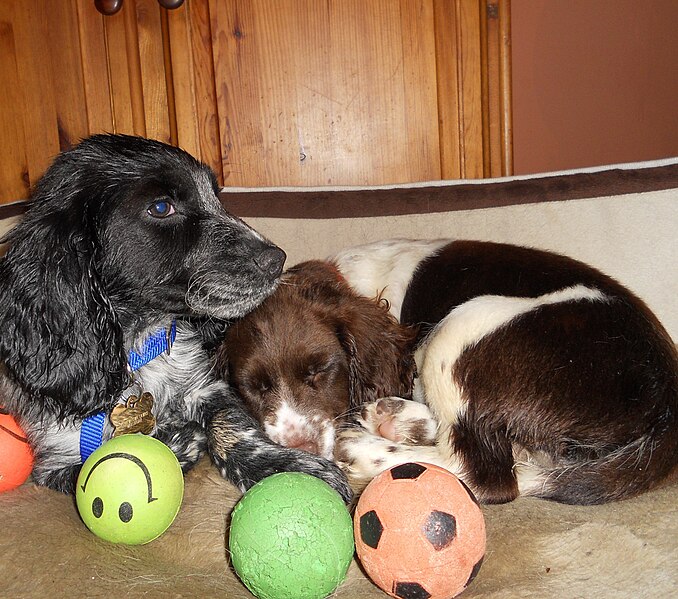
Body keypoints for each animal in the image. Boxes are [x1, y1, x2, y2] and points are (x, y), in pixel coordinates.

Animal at [0, 135, 350, 502]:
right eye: (160, 208)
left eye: (215, 196)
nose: (276, 259)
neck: (136, 347)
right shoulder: (55, 459)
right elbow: (97, 465)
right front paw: (179, 440)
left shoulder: (205, 386)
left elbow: (231, 429)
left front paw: (285, 466)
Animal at [334, 239, 678, 506]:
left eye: (325, 371)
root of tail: (667, 402)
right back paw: (397, 419)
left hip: (464, 325)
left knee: (483, 474)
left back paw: (361, 448)